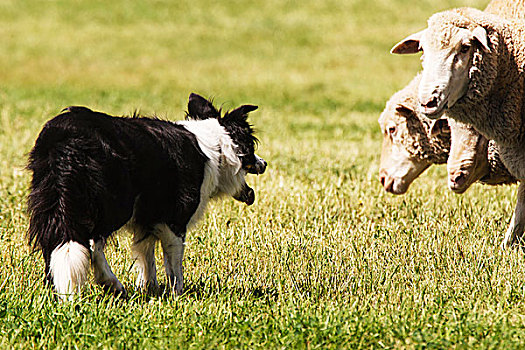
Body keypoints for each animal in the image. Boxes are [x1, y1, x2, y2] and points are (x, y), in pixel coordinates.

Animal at [26, 94, 266, 300]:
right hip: (115, 203)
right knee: (92, 243)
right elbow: (174, 265)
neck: (218, 146)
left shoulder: (147, 221)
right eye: (251, 147)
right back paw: (111, 284)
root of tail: (65, 138)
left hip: (51, 199)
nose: (264, 164)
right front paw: (177, 296)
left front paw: (151, 290)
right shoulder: (174, 221)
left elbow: (146, 256)